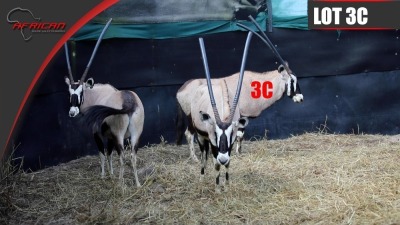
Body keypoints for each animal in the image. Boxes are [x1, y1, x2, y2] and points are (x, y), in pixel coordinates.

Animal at [62, 18, 144, 186]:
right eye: (70, 93)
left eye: (80, 92)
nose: (72, 112)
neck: (97, 94)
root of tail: (129, 101)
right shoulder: (110, 136)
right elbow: (109, 153)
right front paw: (111, 174)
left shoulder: (98, 133)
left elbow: (102, 153)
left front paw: (103, 175)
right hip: (135, 134)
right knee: (132, 156)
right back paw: (138, 184)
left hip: (119, 134)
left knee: (122, 156)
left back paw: (120, 185)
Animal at [179, 32, 253, 192]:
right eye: (216, 131)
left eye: (231, 133)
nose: (223, 157)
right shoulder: (213, 141)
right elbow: (216, 163)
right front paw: (218, 188)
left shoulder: (230, 143)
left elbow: (227, 162)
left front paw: (226, 184)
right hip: (201, 137)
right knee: (204, 155)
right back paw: (202, 176)